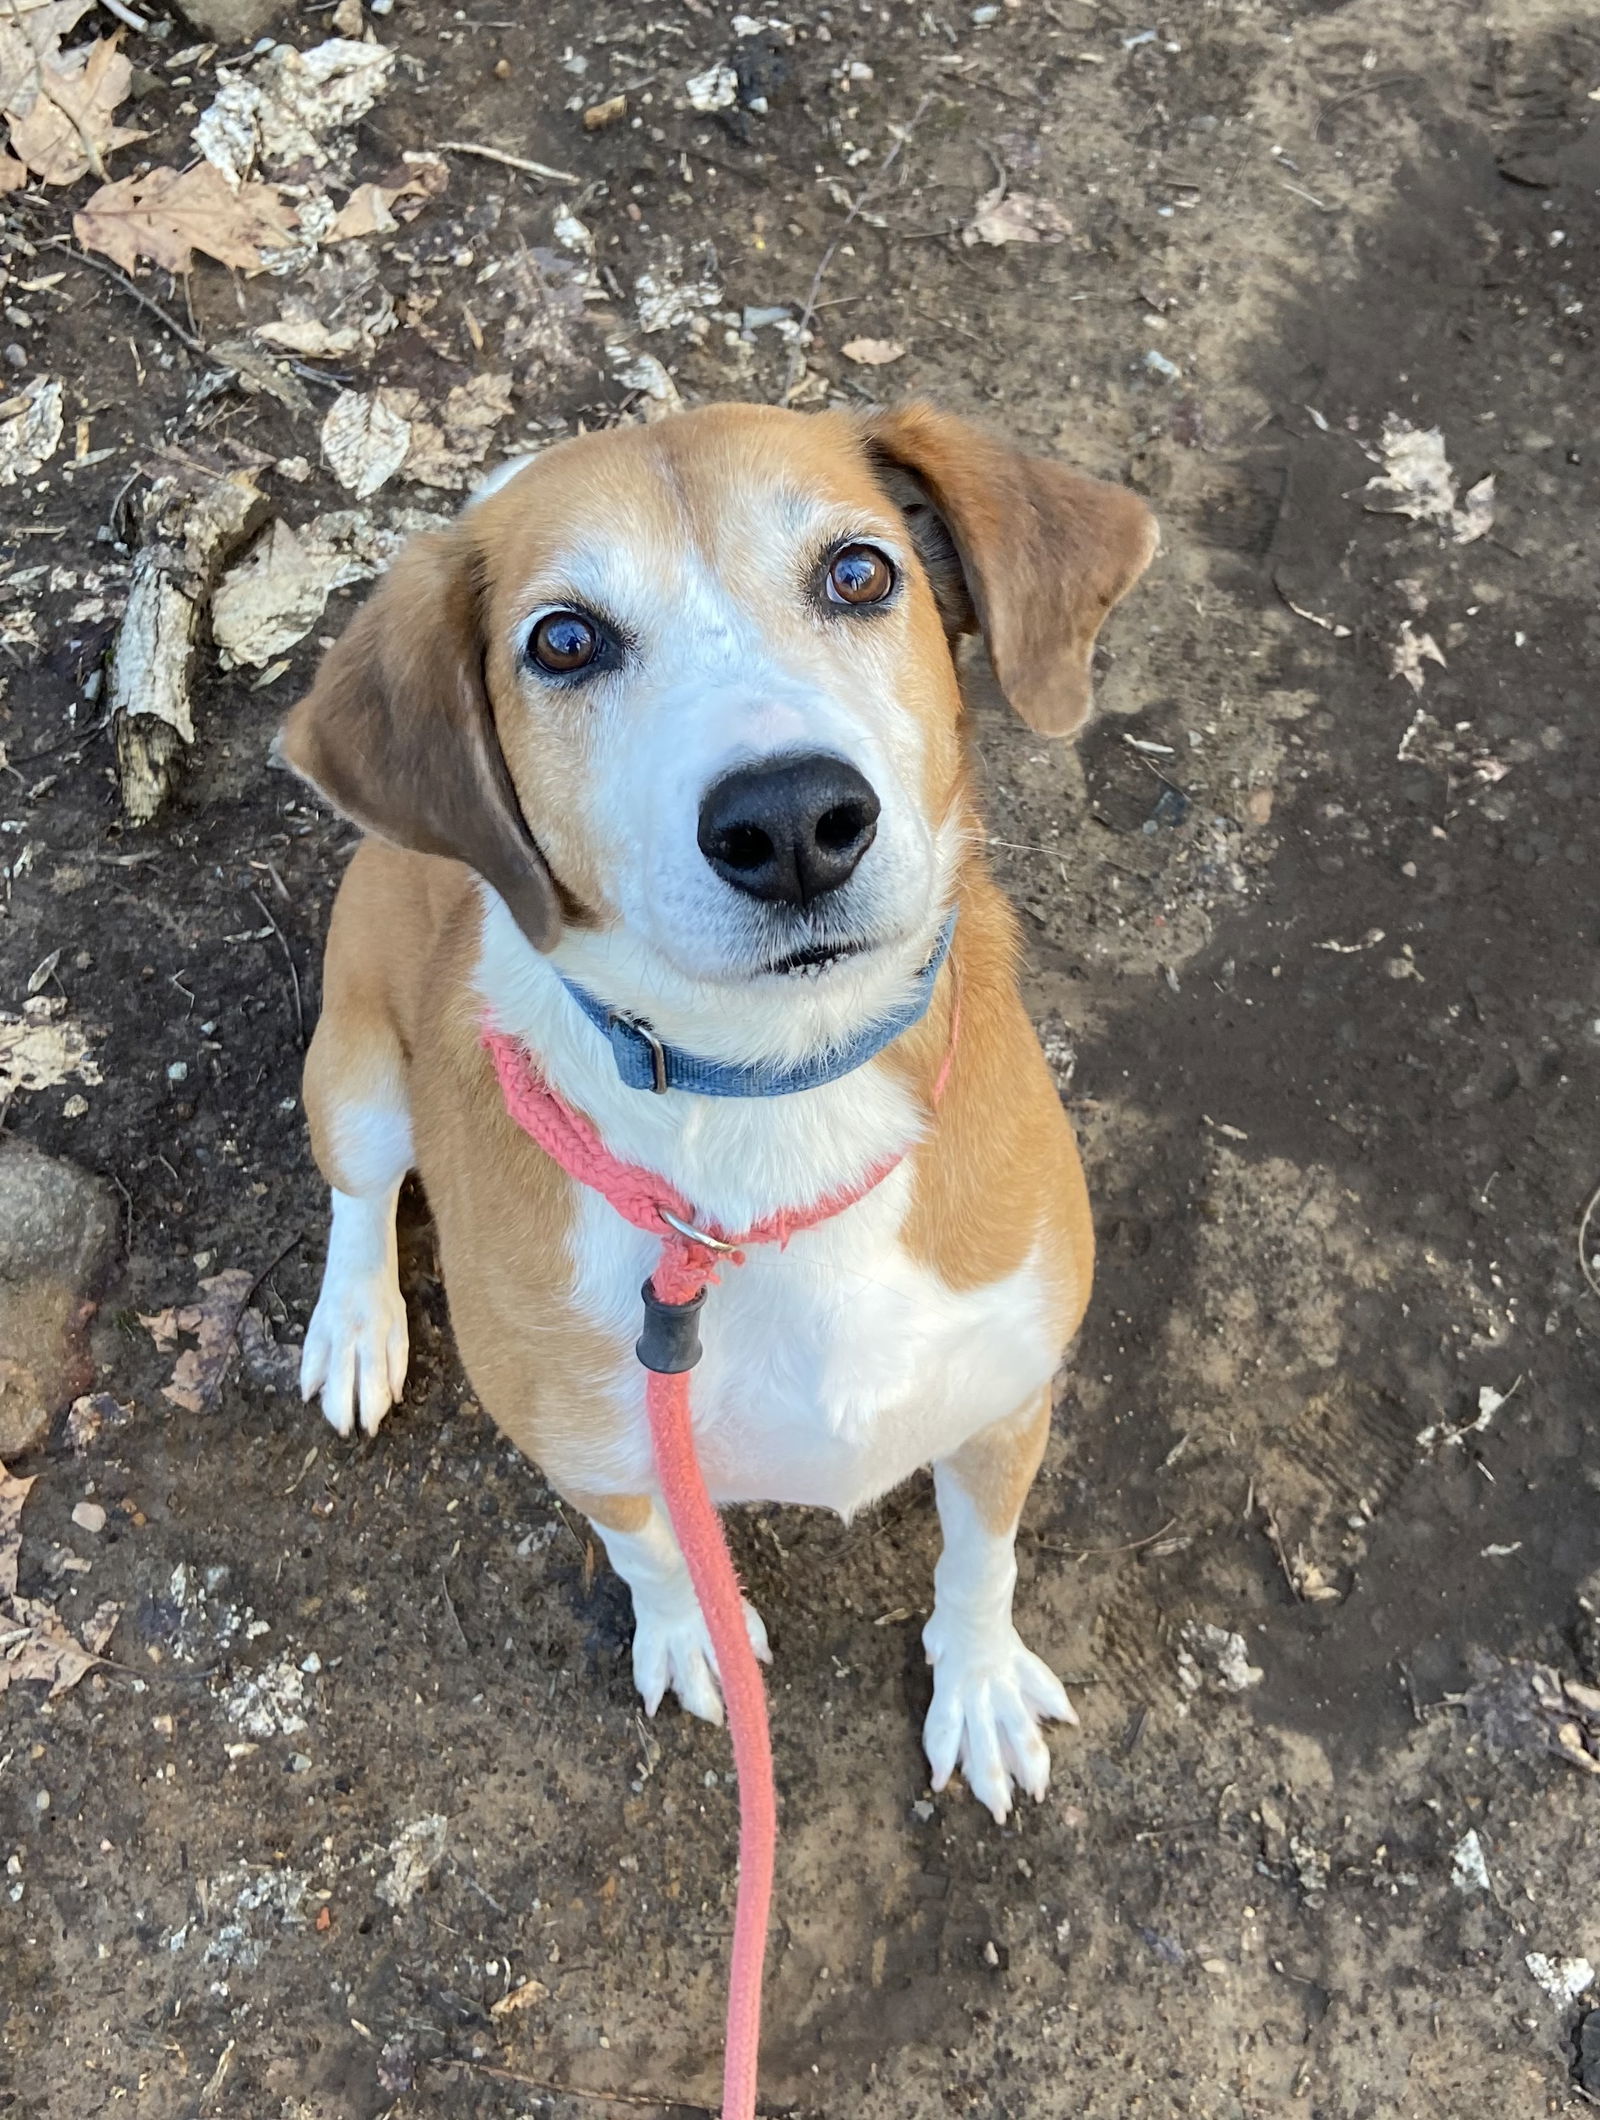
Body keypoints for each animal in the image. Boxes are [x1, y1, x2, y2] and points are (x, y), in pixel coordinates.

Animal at [281, 400, 1161, 1823]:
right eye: (563, 639)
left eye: (859, 572)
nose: (793, 817)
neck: (775, 1098)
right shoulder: (590, 1446)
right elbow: (648, 1549)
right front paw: (694, 1626)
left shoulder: (1005, 1397)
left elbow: (981, 1562)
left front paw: (975, 1680)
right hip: (356, 1068)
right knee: (361, 1189)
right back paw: (356, 1327)